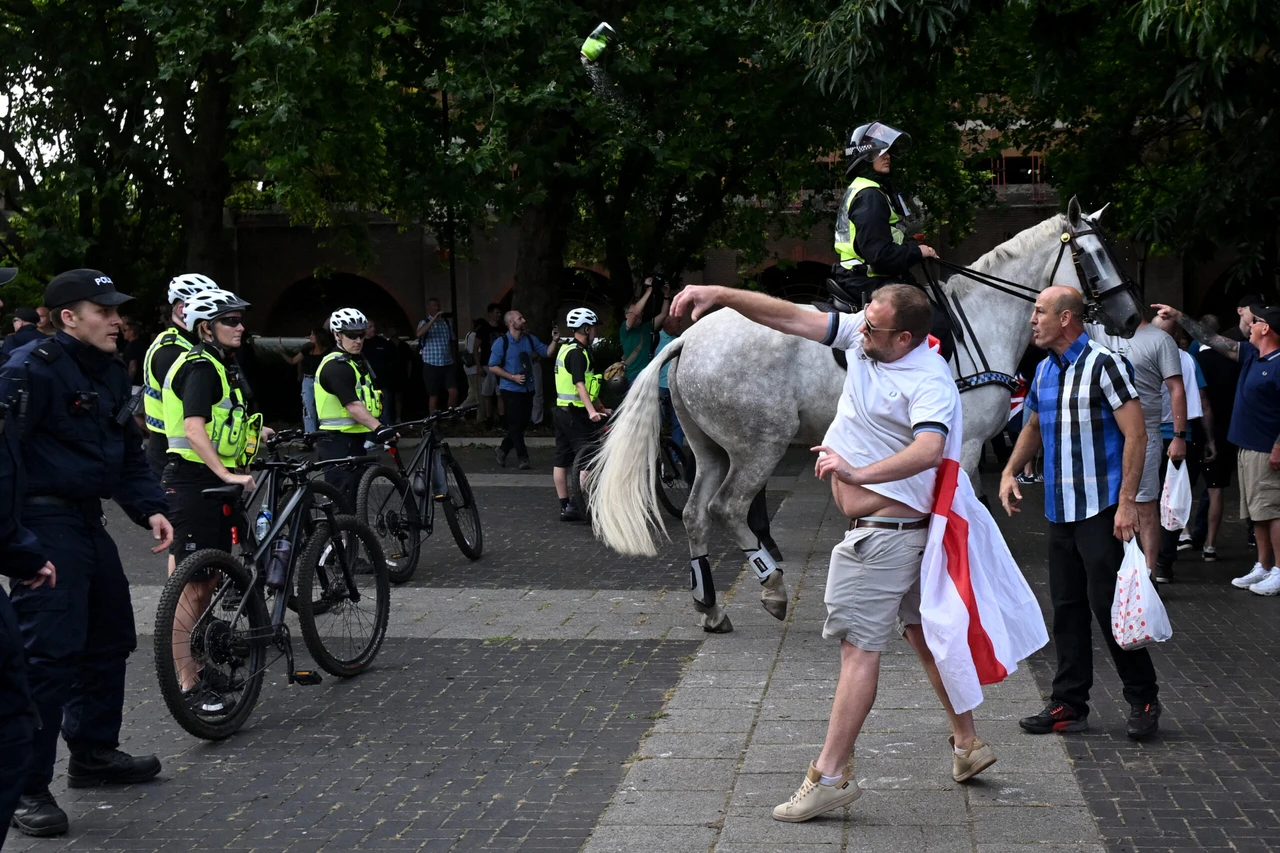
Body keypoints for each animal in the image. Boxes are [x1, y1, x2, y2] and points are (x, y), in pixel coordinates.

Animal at [588, 195, 1141, 627]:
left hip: (710, 450)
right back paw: (772, 586)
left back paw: (709, 605)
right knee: (727, 508)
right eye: (1091, 255)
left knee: (696, 515)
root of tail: (688, 338)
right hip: (758, 446)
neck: (979, 319)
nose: (1131, 318)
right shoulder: (965, 446)